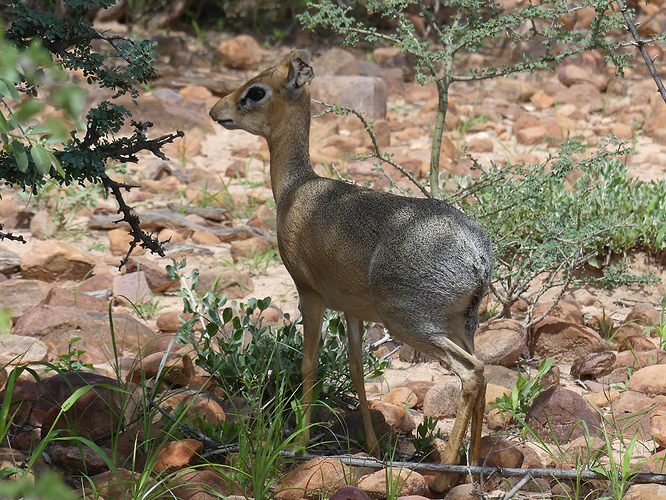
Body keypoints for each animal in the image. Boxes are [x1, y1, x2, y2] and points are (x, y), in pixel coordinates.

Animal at [210, 50, 496, 492]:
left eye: (256, 91)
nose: (216, 111)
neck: (295, 191)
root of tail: (477, 255)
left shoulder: (308, 294)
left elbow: (310, 364)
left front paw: (301, 444)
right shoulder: (352, 310)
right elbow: (358, 371)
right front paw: (373, 450)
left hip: (410, 322)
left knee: (472, 373)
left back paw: (442, 476)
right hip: (460, 322)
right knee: (483, 375)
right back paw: (473, 467)